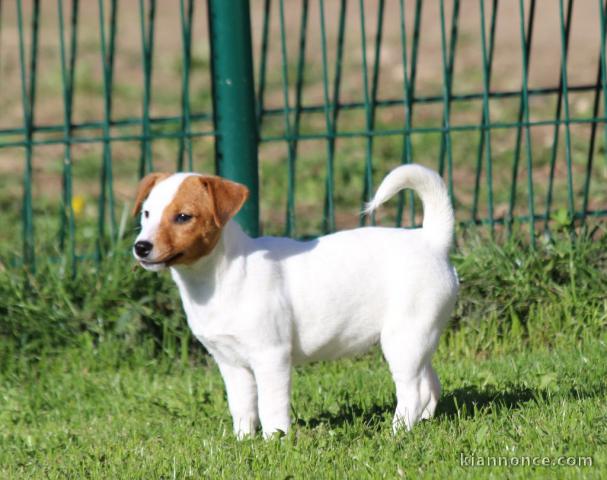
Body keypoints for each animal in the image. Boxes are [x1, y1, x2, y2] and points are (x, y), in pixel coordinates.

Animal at [132, 164, 456, 438]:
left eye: (183, 217)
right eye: (146, 214)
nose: (140, 247)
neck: (220, 277)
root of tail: (430, 240)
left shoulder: (270, 357)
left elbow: (270, 407)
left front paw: (275, 442)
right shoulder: (230, 362)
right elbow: (242, 408)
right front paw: (243, 441)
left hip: (403, 338)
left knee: (412, 390)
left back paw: (397, 432)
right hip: (418, 339)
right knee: (430, 384)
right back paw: (423, 423)